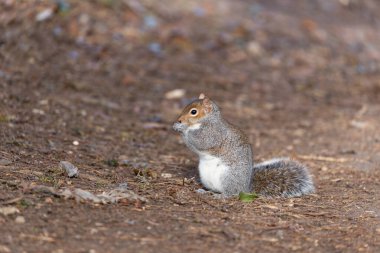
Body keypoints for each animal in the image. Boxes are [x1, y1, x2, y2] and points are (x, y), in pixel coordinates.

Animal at [173, 93, 314, 198]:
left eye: (193, 112)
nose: (179, 120)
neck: (207, 121)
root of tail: (245, 188)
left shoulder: (213, 135)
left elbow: (200, 142)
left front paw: (182, 128)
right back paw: (206, 192)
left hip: (228, 177)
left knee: (232, 193)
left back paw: (221, 196)